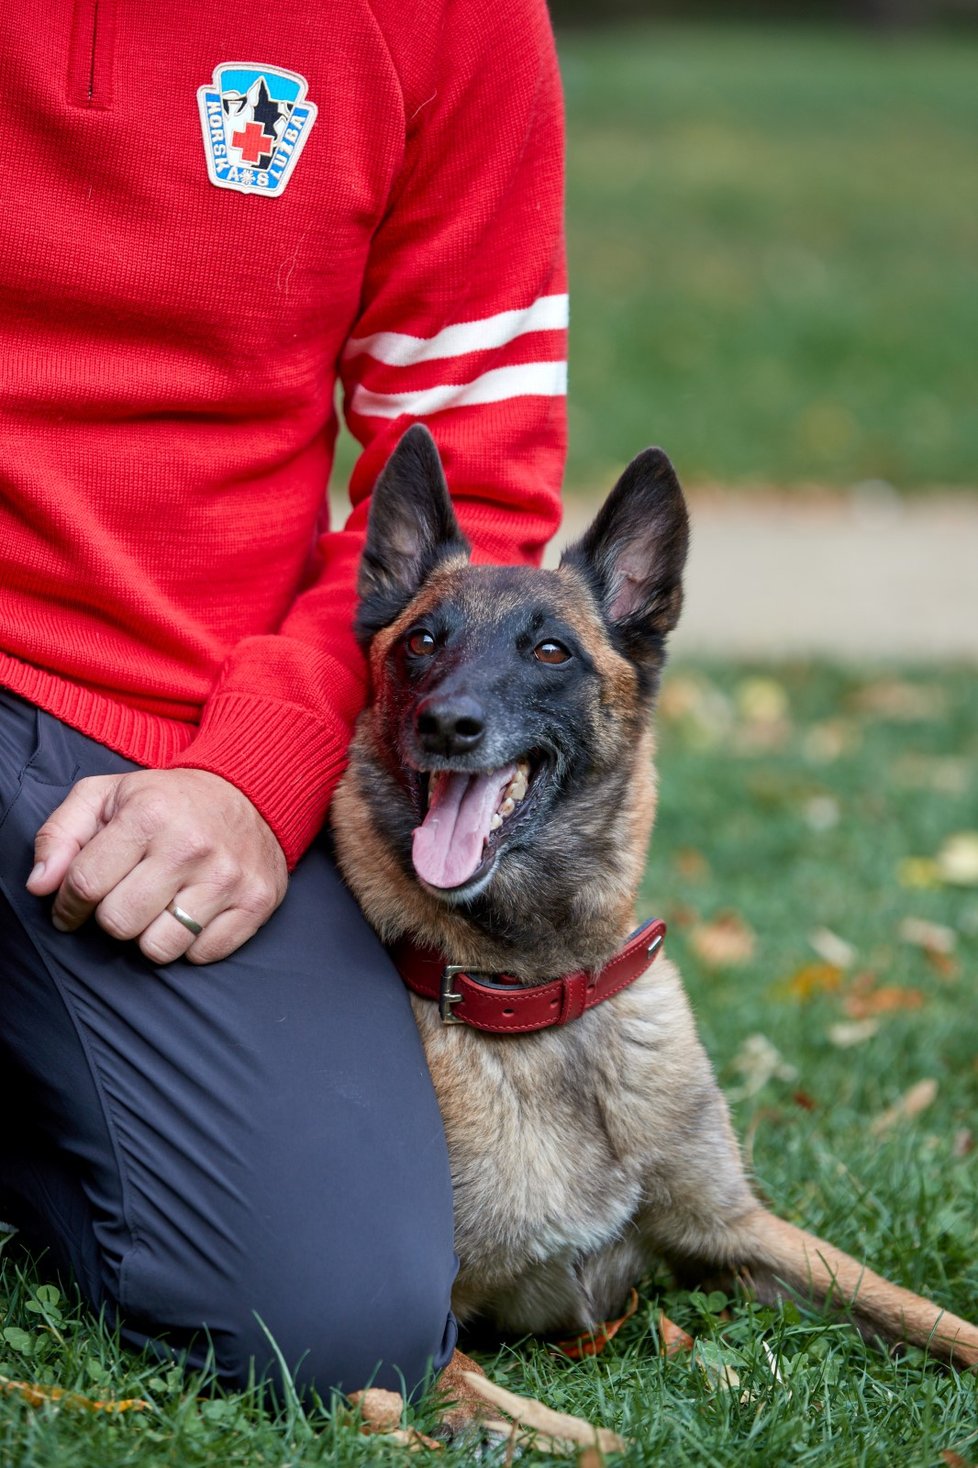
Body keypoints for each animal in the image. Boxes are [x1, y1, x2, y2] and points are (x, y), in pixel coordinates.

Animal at [328, 422, 975, 1397]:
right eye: (421, 643)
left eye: (550, 652)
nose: (447, 723)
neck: (539, 1000)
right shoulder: (418, 1343)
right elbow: (521, 1411)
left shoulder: (740, 1230)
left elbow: (927, 1313)